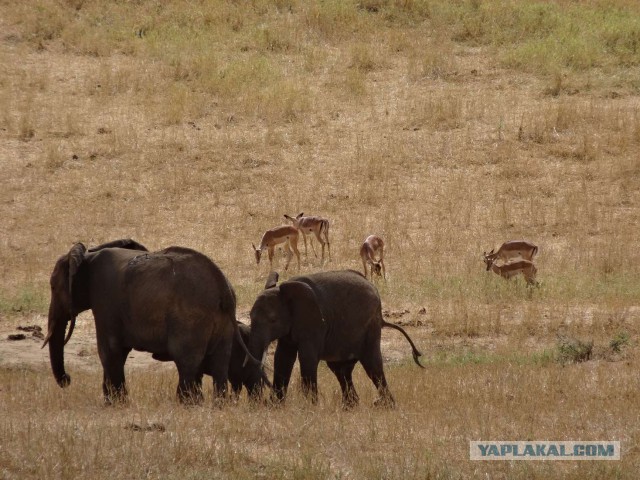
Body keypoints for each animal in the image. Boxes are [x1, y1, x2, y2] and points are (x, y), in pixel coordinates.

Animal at [43, 240, 260, 404]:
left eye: (53, 287)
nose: (68, 379)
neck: (88, 256)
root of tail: (224, 290)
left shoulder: (105, 301)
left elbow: (109, 350)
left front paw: (116, 403)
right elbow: (118, 351)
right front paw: (115, 402)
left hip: (190, 319)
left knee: (187, 360)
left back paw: (187, 404)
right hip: (222, 324)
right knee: (220, 361)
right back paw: (216, 405)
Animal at [246, 270, 424, 408]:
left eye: (272, 320)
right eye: (250, 317)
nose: (260, 402)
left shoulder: (315, 322)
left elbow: (307, 358)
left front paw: (310, 407)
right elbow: (282, 358)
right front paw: (275, 406)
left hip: (370, 327)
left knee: (372, 366)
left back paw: (386, 406)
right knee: (341, 370)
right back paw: (350, 406)